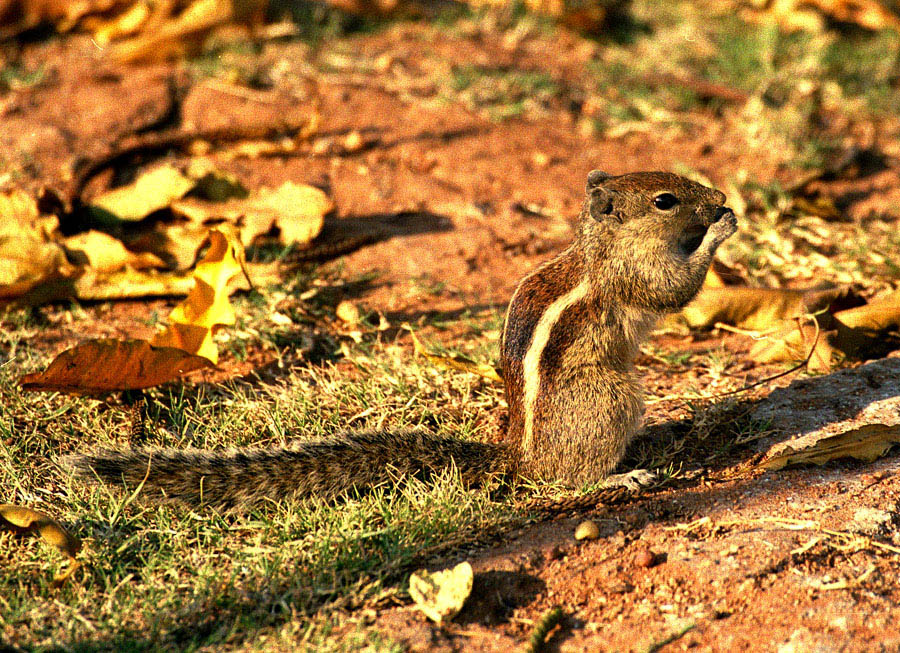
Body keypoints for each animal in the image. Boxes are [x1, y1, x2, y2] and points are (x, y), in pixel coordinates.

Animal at [68, 169, 732, 510]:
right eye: (665, 199)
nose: (721, 198)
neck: (602, 244)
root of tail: (518, 454)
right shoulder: (635, 274)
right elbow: (673, 288)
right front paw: (719, 231)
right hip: (611, 397)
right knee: (562, 480)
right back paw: (618, 477)